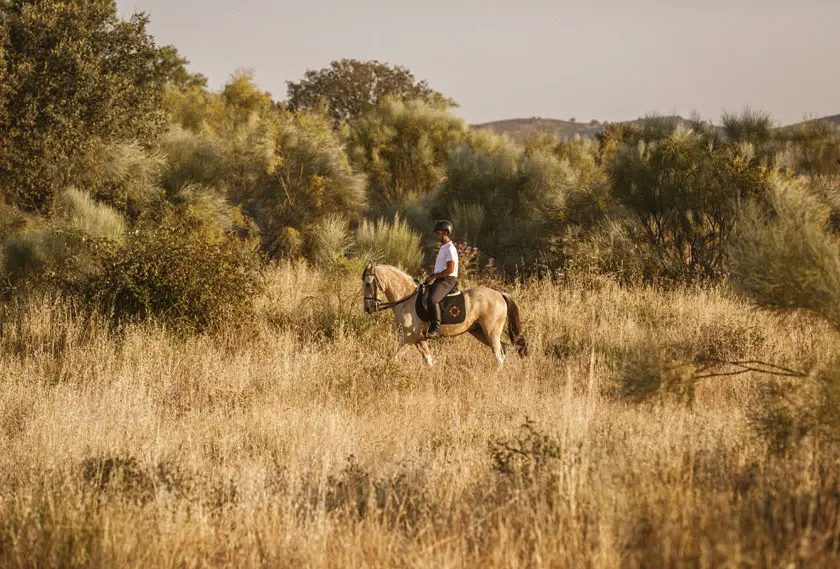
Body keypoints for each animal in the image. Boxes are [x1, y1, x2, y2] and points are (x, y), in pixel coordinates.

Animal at [362, 262, 532, 366]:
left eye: (368, 284)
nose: (368, 308)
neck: (406, 298)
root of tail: (499, 294)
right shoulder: (419, 339)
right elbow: (428, 361)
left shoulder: (410, 336)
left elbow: (395, 357)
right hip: (479, 332)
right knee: (503, 349)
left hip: (491, 331)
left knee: (499, 355)